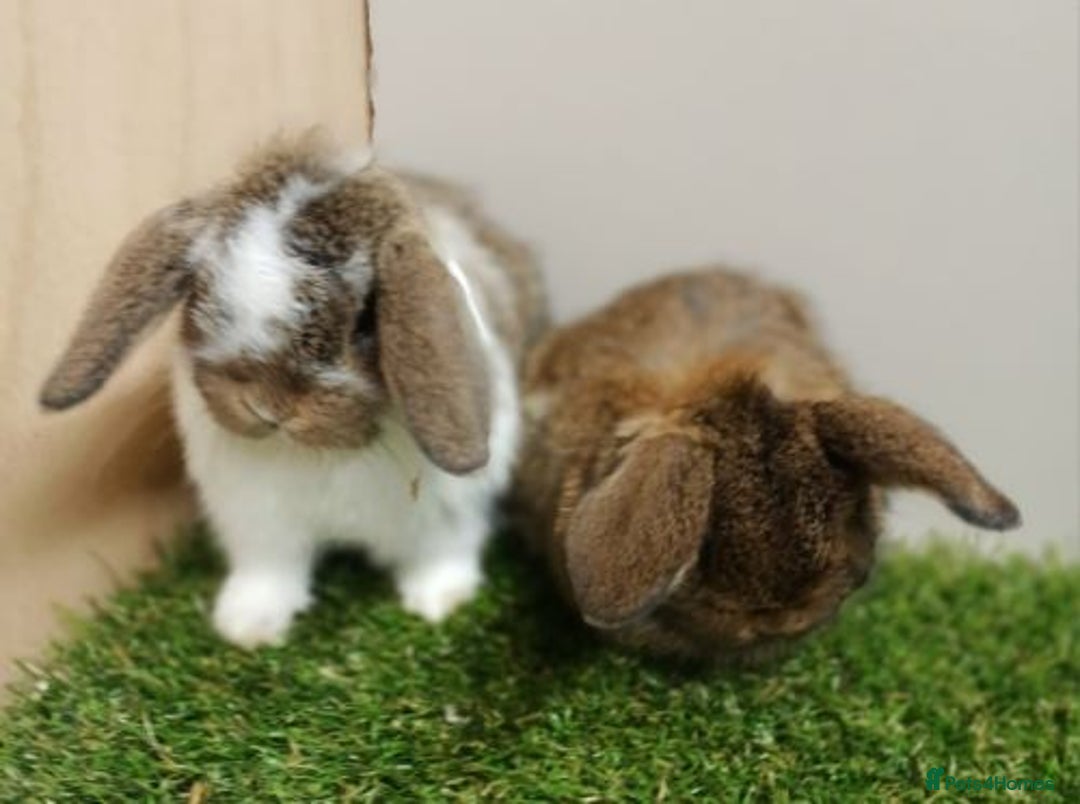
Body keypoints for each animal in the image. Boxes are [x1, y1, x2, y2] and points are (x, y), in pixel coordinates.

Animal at [40, 132, 548, 648]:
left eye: (364, 321)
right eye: (203, 295)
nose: (268, 406)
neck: (320, 456)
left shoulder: (446, 515)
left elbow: (441, 554)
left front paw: (440, 604)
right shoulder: (259, 524)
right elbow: (269, 572)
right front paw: (247, 627)